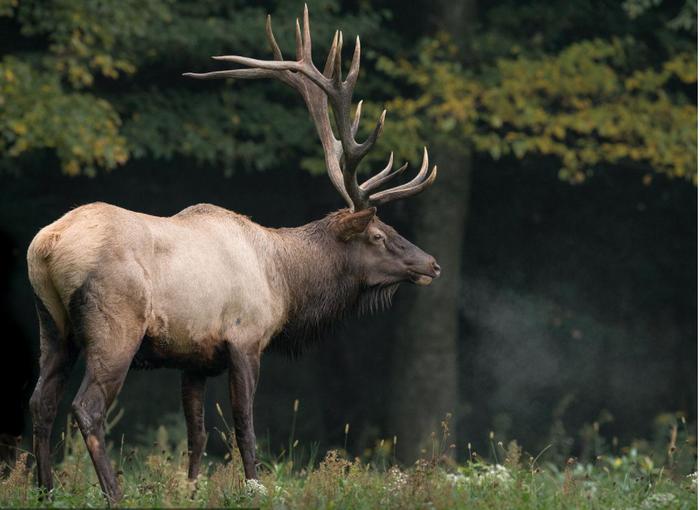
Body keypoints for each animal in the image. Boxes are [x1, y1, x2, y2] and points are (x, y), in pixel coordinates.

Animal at [30, 5, 440, 504]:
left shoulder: (193, 358)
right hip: (114, 327)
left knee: (40, 403)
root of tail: (47, 246)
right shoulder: (245, 338)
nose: (431, 263)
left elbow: (197, 433)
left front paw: (189, 491)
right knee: (86, 408)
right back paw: (114, 494)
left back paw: (44, 491)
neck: (285, 282)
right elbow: (244, 425)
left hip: (53, 327)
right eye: (379, 234)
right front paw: (255, 486)